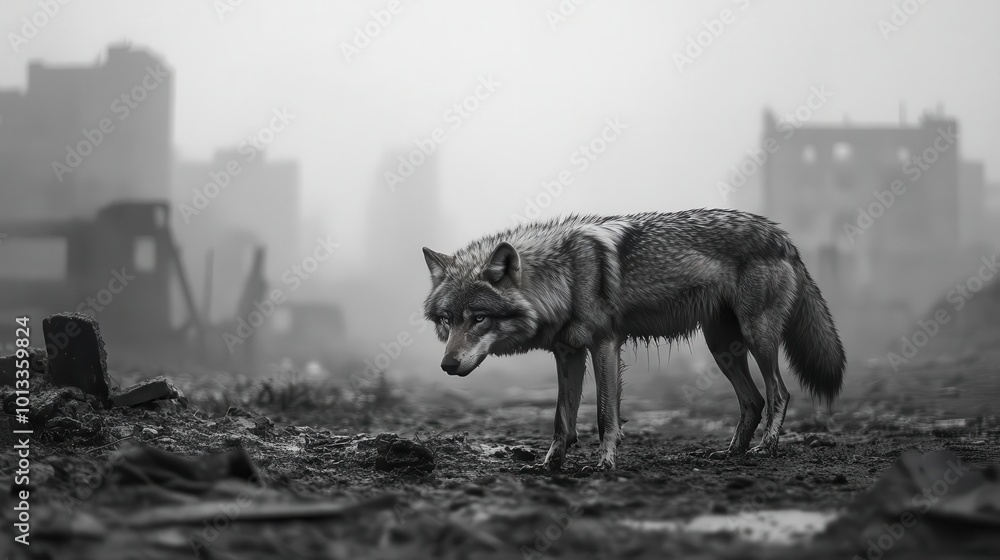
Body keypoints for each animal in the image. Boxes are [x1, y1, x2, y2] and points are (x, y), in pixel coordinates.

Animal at [422, 209, 845, 471]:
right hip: (721, 347)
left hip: (757, 338)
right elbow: (562, 419)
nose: (447, 365)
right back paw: (730, 452)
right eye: (447, 320)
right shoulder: (568, 352)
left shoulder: (605, 345)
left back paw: (765, 448)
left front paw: (605, 464)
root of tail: (782, 236)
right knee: (753, 400)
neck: (564, 277)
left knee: (779, 393)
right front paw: (549, 465)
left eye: (479, 318)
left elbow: (604, 415)